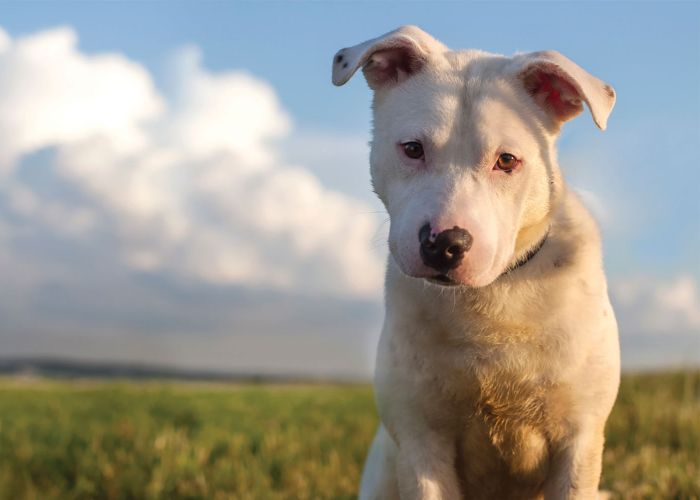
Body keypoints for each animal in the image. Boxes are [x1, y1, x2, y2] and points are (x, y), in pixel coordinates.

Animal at [334, 27, 624, 500]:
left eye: (507, 160)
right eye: (412, 149)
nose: (444, 244)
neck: (492, 302)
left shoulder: (578, 443)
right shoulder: (421, 444)